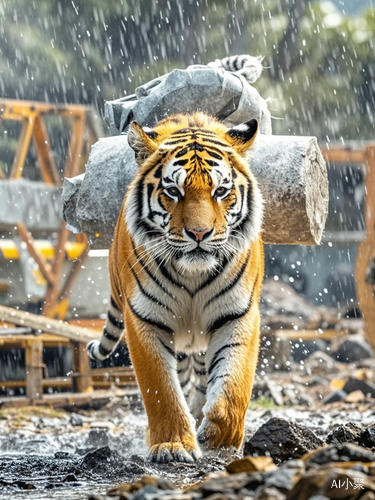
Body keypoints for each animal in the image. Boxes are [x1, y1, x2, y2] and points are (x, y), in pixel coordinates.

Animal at [87, 111, 264, 462]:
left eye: (220, 191)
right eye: (173, 191)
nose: (199, 233)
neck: (192, 274)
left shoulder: (239, 315)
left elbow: (234, 385)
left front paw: (220, 438)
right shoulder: (146, 319)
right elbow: (161, 390)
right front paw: (173, 445)